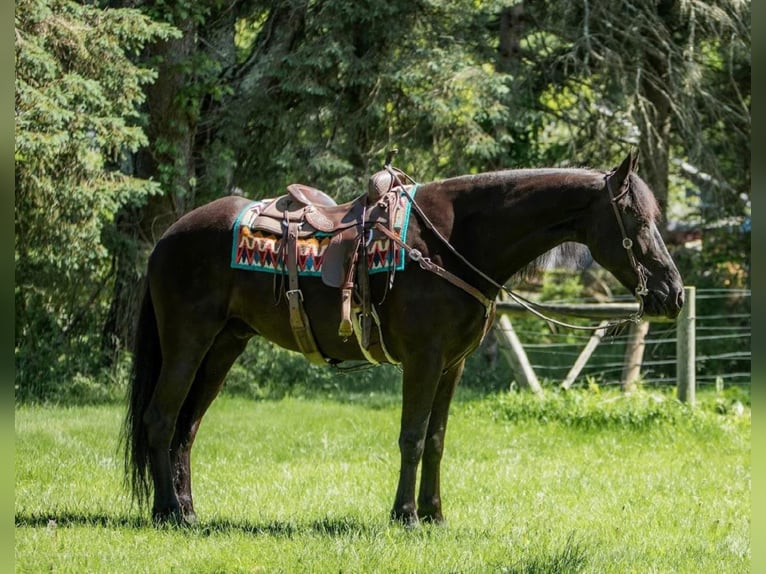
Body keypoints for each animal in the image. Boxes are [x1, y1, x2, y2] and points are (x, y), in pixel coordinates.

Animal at [124, 152, 684, 528]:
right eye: (637, 219)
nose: (672, 293)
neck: (451, 242)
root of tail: (170, 235)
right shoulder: (423, 359)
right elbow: (411, 437)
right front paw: (406, 514)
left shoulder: (452, 364)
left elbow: (436, 440)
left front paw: (435, 514)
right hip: (187, 341)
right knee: (161, 418)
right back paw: (168, 512)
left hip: (223, 345)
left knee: (186, 428)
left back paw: (188, 510)